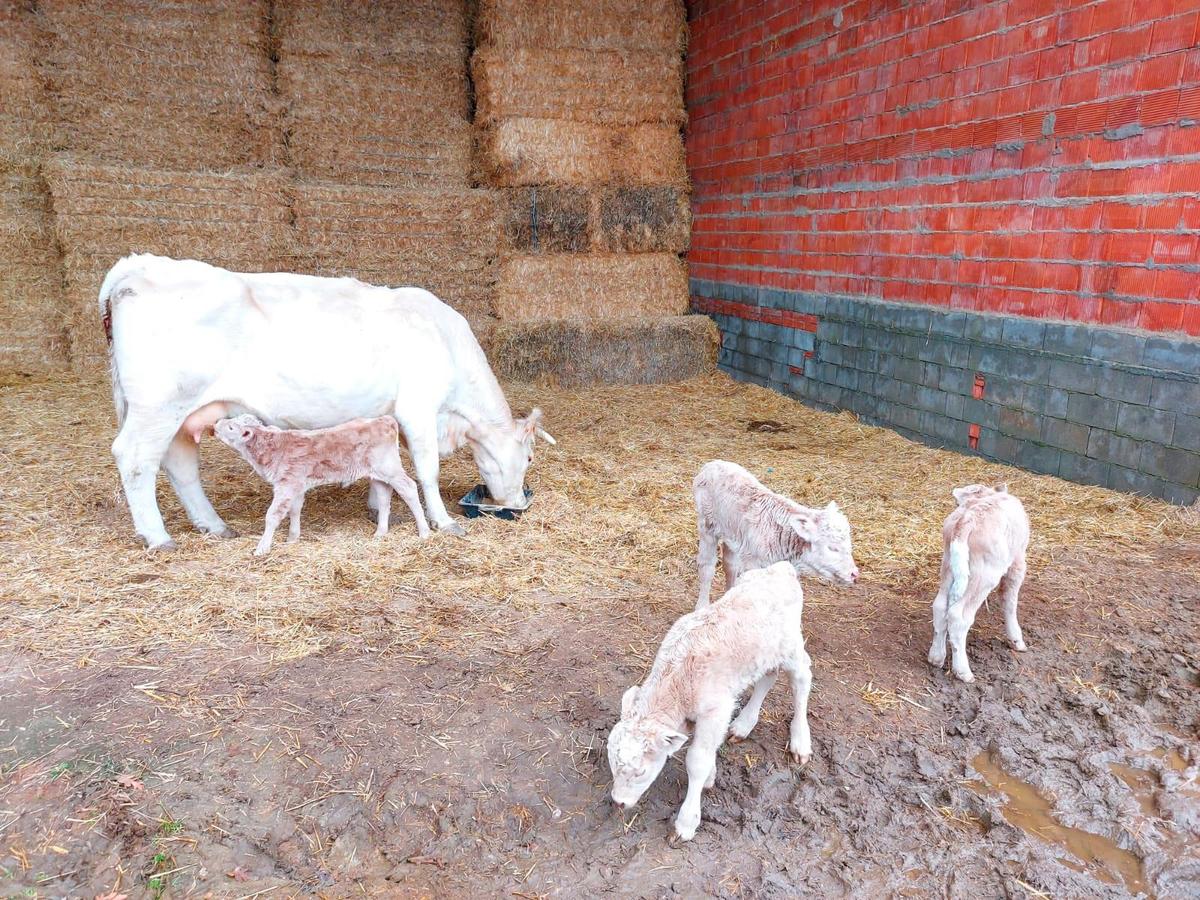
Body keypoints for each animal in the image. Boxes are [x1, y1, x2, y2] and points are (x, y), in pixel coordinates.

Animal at [216, 415, 432, 556]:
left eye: (231, 427)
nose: (217, 423)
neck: (272, 447)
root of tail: (384, 419)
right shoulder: (297, 484)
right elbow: (295, 510)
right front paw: (292, 538)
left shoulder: (286, 485)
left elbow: (273, 515)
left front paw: (262, 548)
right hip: (377, 474)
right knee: (384, 496)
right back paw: (380, 533)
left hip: (390, 468)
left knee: (409, 488)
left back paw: (424, 532)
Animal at [609, 564, 816, 844]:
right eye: (611, 762)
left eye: (640, 771)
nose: (618, 802)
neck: (677, 678)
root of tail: (782, 568)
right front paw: (711, 776)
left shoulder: (715, 710)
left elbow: (697, 759)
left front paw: (686, 822)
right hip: (765, 653)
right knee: (768, 677)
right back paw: (744, 725)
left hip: (792, 646)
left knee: (802, 679)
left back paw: (800, 741)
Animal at [691, 460, 859, 609]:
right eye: (832, 548)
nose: (854, 574)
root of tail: (712, 464)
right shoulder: (754, 565)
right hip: (707, 526)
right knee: (707, 566)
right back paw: (702, 606)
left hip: (730, 533)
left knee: (730, 565)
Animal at [926, 487, 1032, 681]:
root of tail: (967, 520)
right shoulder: (1018, 561)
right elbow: (1009, 599)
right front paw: (1016, 640)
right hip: (982, 577)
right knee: (958, 617)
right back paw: (963, 671)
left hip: (948, 567)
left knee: (940, 607)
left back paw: (936, 657)